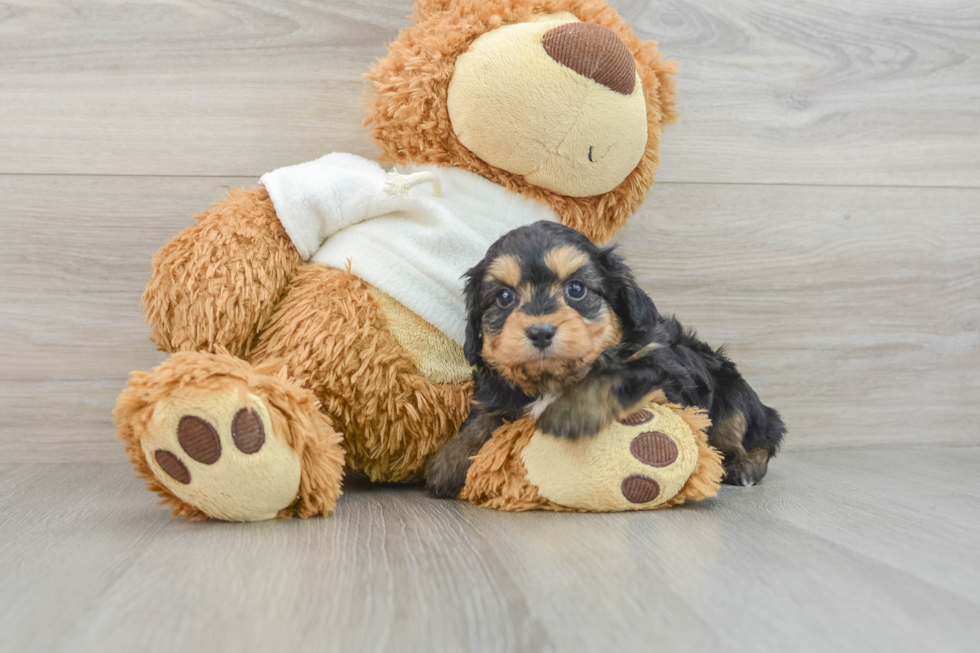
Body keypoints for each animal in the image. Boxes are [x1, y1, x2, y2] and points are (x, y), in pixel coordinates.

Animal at [424, 222, 784, 496]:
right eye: (503, 297)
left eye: (576, 290)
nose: (540, 332)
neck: (554, 379)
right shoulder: (498, 389)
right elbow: (485, 414)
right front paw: (453, 457)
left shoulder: (661, 368)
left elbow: (613, 375)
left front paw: (570, 411)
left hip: (734, 398)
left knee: (762, 431)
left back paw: (745, 467)